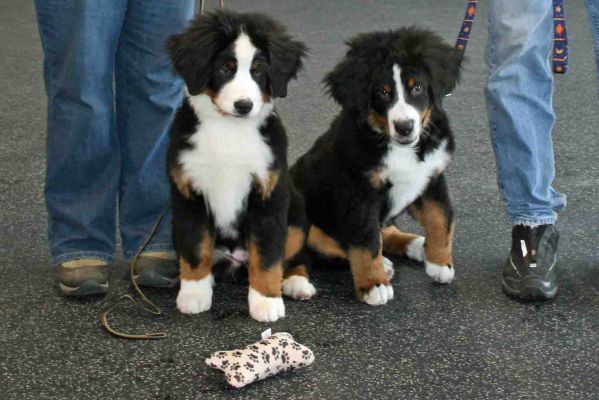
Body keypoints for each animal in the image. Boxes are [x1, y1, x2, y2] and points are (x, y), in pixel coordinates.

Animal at [166, 10, 316, 322]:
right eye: (225, 69)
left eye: (258, 71)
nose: (244, 105)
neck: (229, 129)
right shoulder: (189, 194)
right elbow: (195, 248)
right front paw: (194, 294)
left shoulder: (269, 195)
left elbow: (268, 255)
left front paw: (267, 301)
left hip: (296, 210)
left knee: (297, 255)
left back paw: (296, 283)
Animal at [290, 27, 464, 304]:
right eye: (383, 92)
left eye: (417, 88)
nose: (405, 127)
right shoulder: (359, 191)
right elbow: (367, 239)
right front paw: (373, 283)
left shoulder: (431, 178)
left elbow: (440, 218)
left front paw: (439, 262)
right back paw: (297, 283)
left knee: (386, 230)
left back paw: (416, 246)